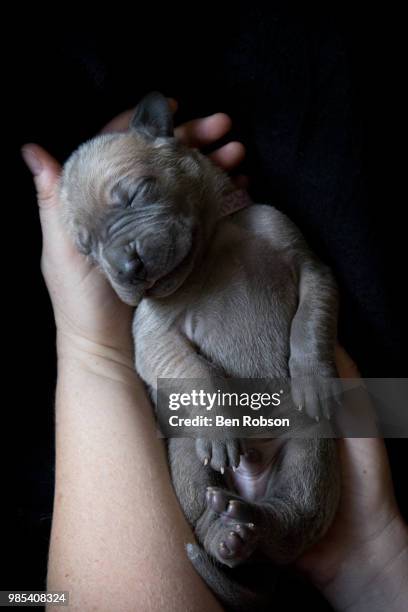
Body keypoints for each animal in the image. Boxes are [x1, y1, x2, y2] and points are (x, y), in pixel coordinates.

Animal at [59, 92, 342, 612]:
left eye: (137, 194)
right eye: (86, 251)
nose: (125, 268)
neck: (209, 248)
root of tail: (252, 478)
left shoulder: (305, 260)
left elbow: (310, 317)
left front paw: (313, 377)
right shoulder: (152, 335)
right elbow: (192, 368)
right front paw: (219, 422)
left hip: (311, 451)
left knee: (293, 517)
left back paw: (252, 525)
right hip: (188, 457)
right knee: (209, 497)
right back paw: (224, 534)